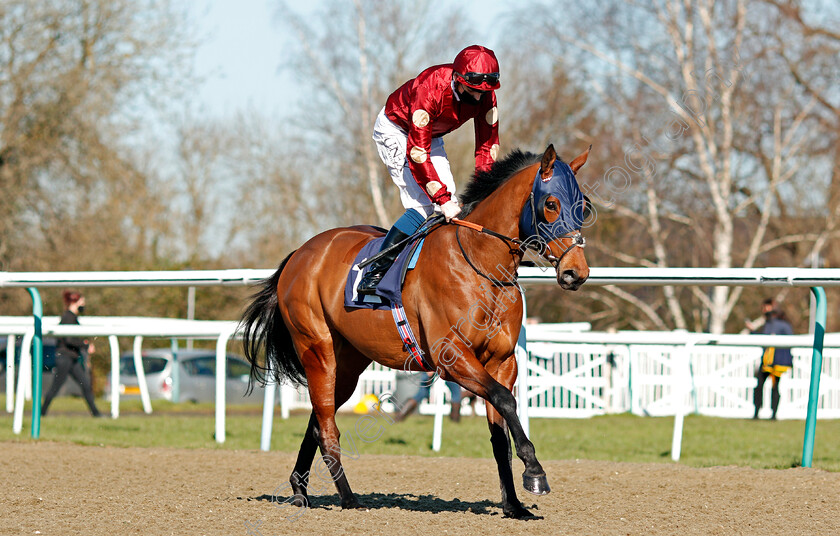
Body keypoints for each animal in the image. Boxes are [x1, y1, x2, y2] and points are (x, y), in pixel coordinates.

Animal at [241, 143, 592, 520]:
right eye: (551, 203)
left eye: (583, 204)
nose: (576, 273)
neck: (481, 262)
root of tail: (300, 253)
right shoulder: (451, 358)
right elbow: (505, 399)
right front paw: (535, 471)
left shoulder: (502, 361)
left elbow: (500, 432)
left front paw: (513, 505)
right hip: (317, 350)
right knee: (327, 426)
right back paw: (348, 498)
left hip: (348, 364)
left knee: (319, 420)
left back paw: (299, 490)